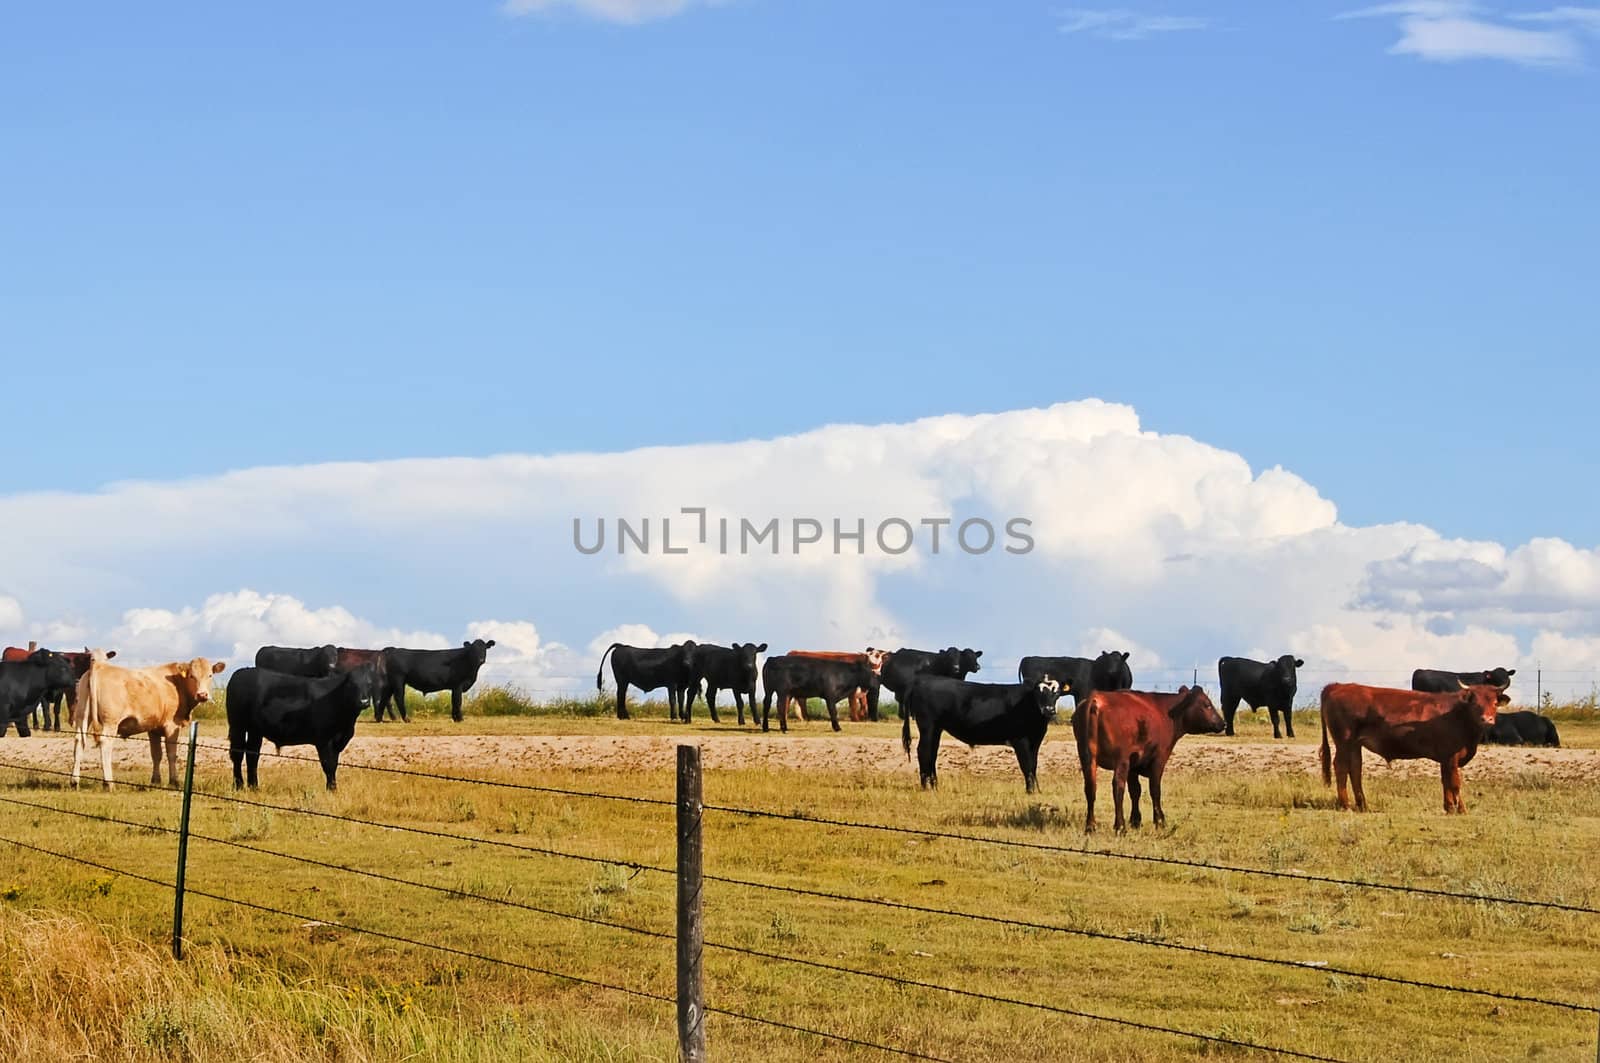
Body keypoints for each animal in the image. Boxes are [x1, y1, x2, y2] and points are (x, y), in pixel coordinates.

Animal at [72, 646, 225, 787]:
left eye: (210, 675)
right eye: (192, 676)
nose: (202, 695)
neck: (177, 684)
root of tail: (99, 667)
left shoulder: (153, 728)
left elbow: (156, 755)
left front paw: (155, 780)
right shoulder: (172, 725)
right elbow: (171, 754)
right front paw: (174, 781)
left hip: (83, 717)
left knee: (79, 740)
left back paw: (74, 781)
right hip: (110, 721)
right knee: (105, 743)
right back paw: (108, 783)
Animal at [225, 665, 380, 787]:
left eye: (369, 684)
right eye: (352, 684)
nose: (364, 701)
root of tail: (242, 672)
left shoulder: (338, 741)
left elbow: (334, 764)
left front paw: (333, 788)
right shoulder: (323, 740)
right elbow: (328, 765)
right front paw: (331, 789)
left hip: (255, 730)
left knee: (252, 754)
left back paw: (254, 787)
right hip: (237, 725)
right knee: (238, 754)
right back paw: (238, 785)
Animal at [902, 675, 1062, 794]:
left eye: (1056, 692)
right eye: (1039, 692)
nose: (1049, 709)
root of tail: (921, 681)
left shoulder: (1036, 741)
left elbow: (1033, 765)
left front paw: (1037, 790)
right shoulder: (1020, 740)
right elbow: (1026, 765)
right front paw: (1029, 791)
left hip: (936, 728)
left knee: (932, 753)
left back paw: (935, 786)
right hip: (927, 725)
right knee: (923, 751)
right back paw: (925, 787)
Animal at [1075, 685, 1222, 832]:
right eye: (1207, 704)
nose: (1223, 723)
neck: (1166, 712)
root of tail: (1096, 699)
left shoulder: (1133, 764)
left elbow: (1135, 791)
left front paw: (1135, 820)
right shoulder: (1158, 759)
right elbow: (1155, 789)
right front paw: (1160, 820)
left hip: (1088, 759)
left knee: (1090, 787)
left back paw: (1090, 826)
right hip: (1120, 760)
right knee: (1118, 787)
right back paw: (1120, 826)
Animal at [1318, 681, 1504, 813]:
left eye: (1495, 703)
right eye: (1475, 703)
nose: (1487, 719)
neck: (1458, 714)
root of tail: (1338, 686)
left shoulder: (1445, 758)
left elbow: (1446, 781)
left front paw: (1449, 807)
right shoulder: (1451, 755)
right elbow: (1454, 783)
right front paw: (1460, 810)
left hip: (1355, 744)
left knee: (1355, 769)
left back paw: (1363, 805)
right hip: (1344, 741)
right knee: (1341, 767)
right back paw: (1345, 805)